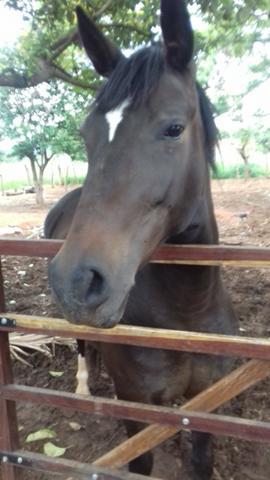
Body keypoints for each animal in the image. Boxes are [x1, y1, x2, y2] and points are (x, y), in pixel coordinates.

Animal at [47, 1, 237, 478]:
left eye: (173, 128)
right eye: (86, 134)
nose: (76, 281)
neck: (187, 315)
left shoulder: (206, 406)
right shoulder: (135, 408)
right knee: (82, 347)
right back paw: (82, 386)